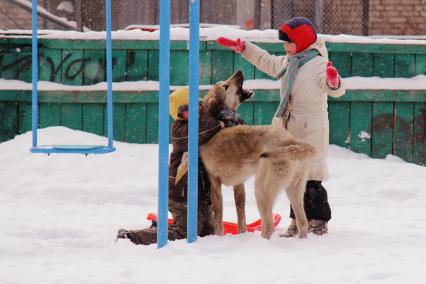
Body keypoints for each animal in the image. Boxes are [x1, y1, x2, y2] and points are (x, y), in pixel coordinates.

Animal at [201, 70, 314, 237]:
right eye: (225, 85)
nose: (239, 71)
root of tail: (291, 140)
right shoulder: (238, 186)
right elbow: (241, 216)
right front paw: (241, 234)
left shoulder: (215, 184)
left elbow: (218, 219)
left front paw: (219, 236)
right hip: (294, 189)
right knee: (302, 222)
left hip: (262, 189)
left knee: (268, 225)